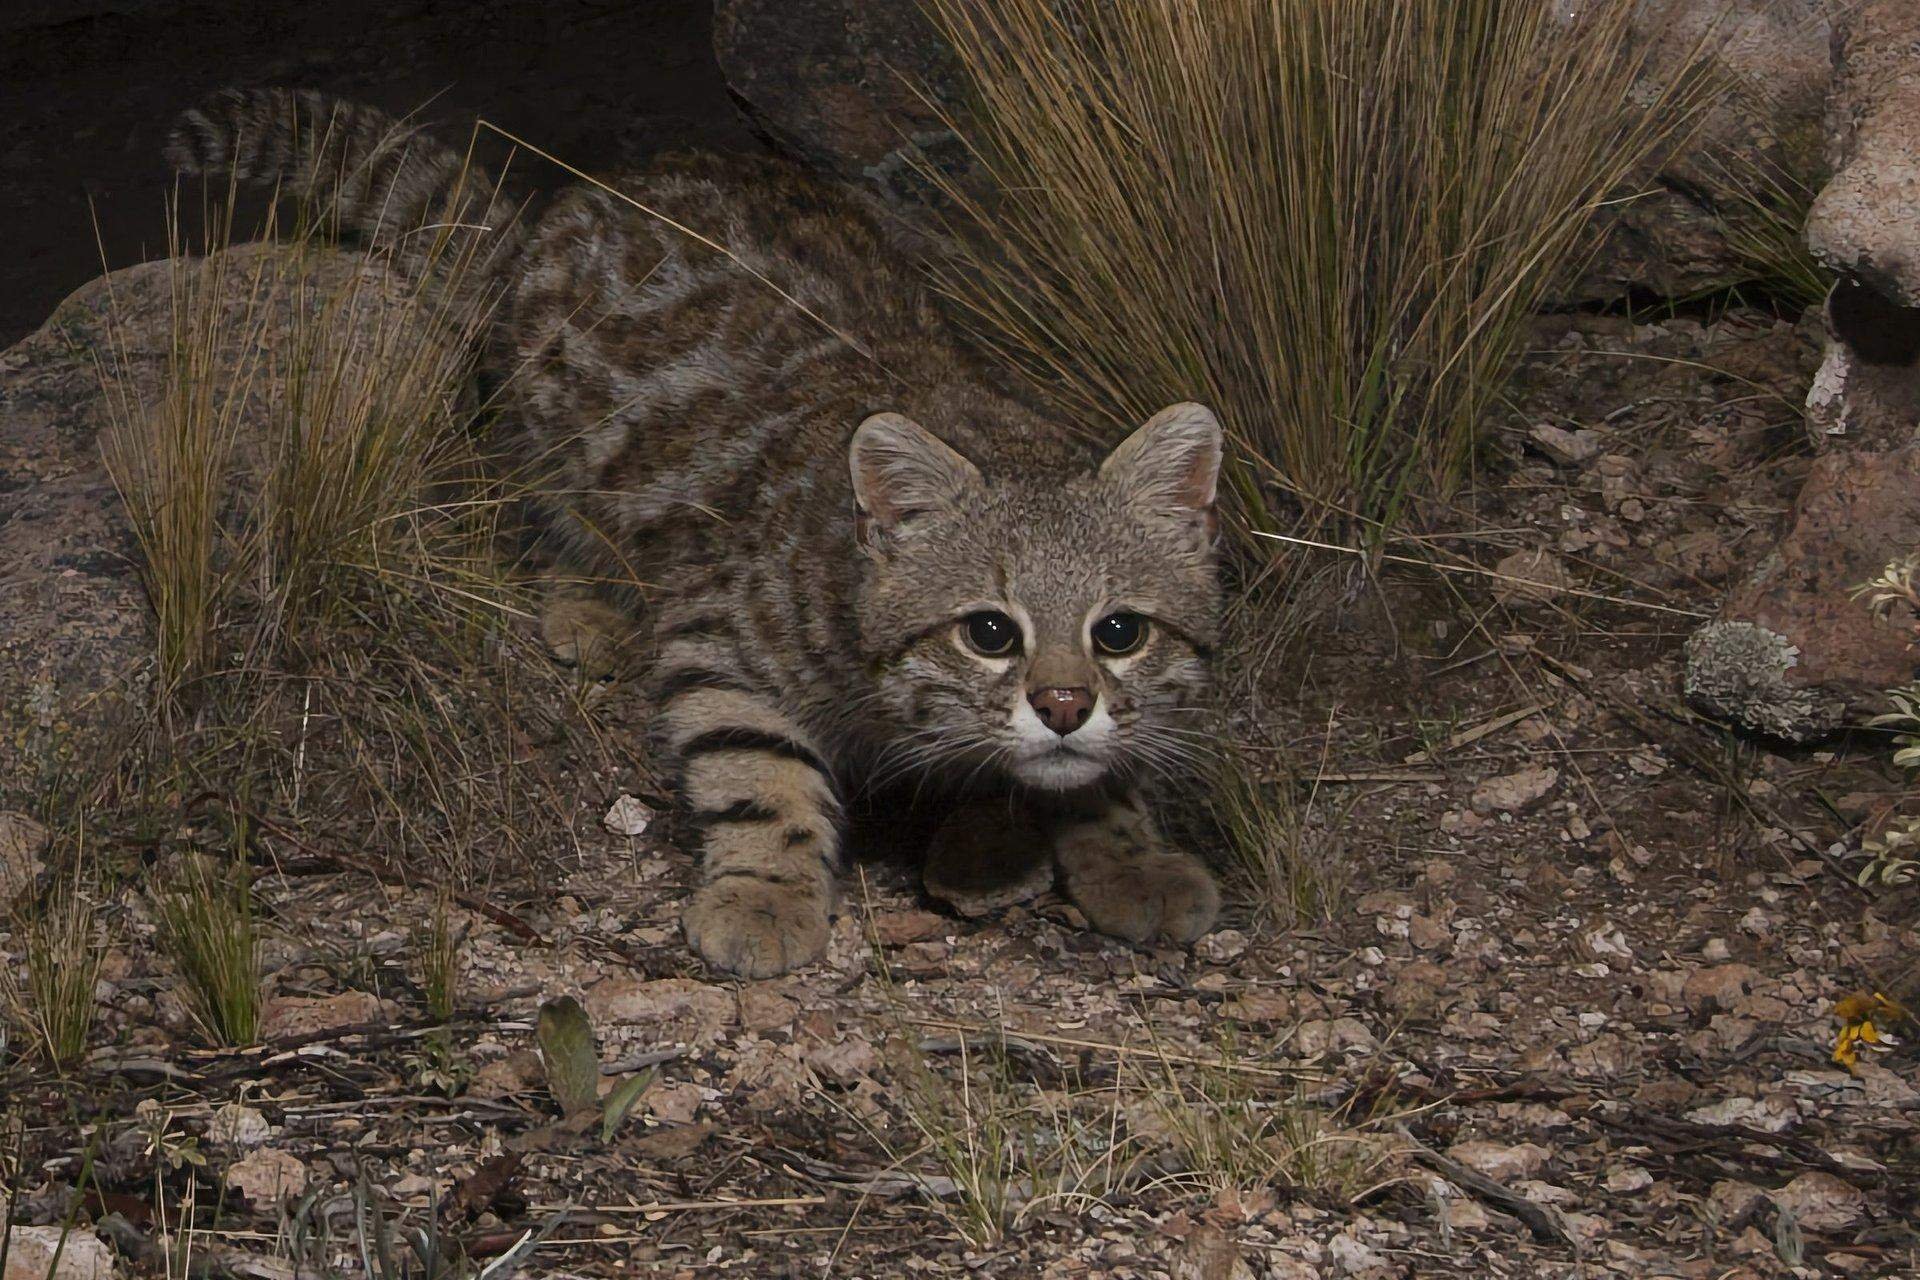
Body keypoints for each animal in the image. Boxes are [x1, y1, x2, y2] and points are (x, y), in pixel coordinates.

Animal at [165, 84, 1213, 974]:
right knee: (552, 522)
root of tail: (548, 224)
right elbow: (761, 773)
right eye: (989, 631)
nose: (1063, 706)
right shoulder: (721, 637)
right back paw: (588, 606)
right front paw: (766, 890)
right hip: (555, 449)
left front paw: (1119, 851)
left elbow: (1100, 770)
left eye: (1120, 631)